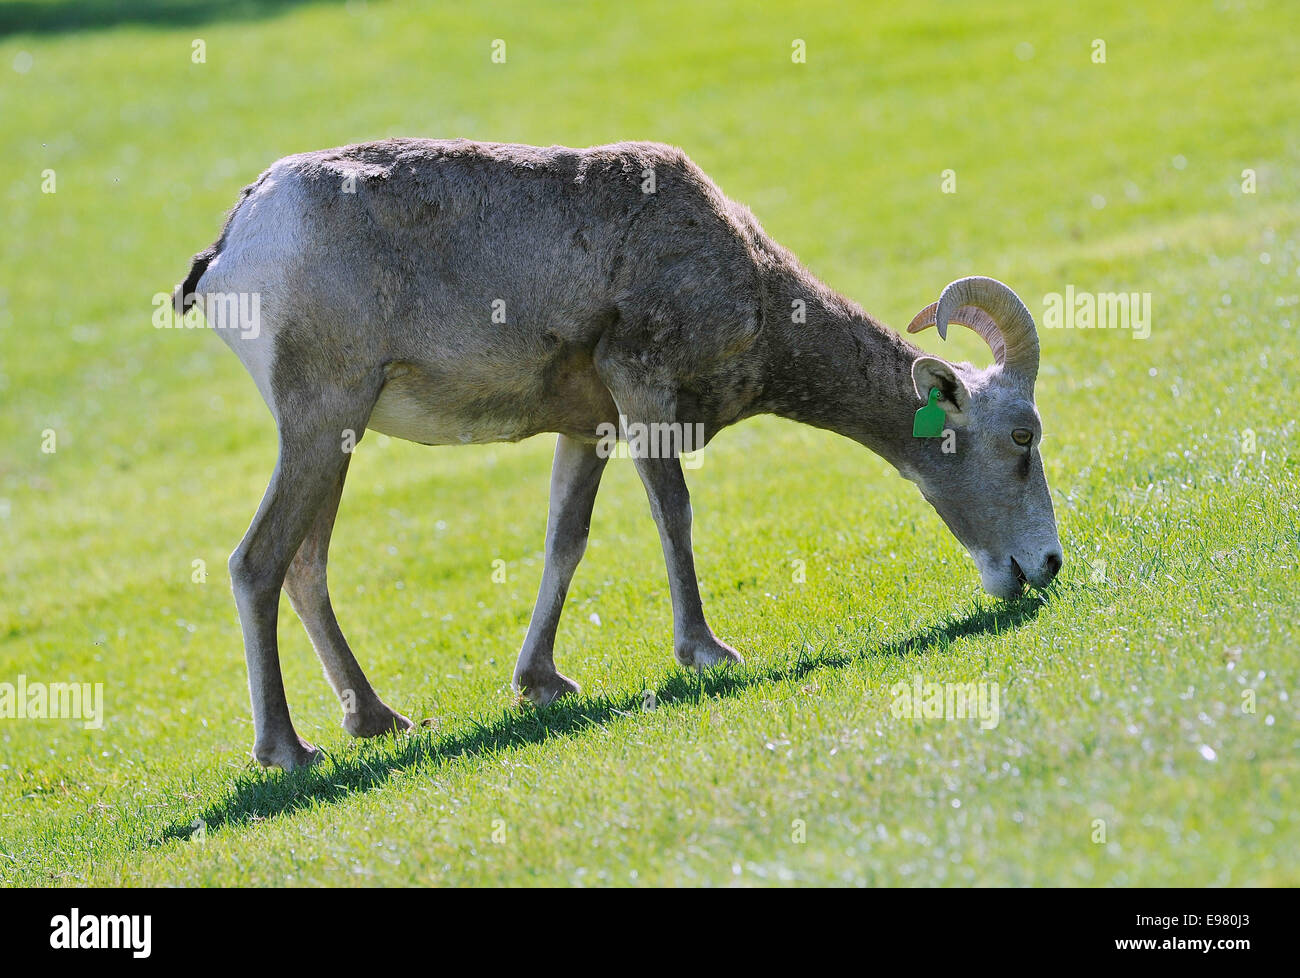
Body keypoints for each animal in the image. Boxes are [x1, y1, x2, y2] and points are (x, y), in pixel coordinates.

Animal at [172, 137, 1060, 769]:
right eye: (1022, 438)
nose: (1046, 566)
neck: (745, 276)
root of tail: (234, 243)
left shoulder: (587, 430)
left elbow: (565, 542)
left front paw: (541, 684)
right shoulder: (644, 397)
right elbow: (675, 516)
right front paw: (707, 653)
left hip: (336, 438)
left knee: (305, 565)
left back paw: (377, 719)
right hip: (321, 423)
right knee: (258, 561)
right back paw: (289, 751)